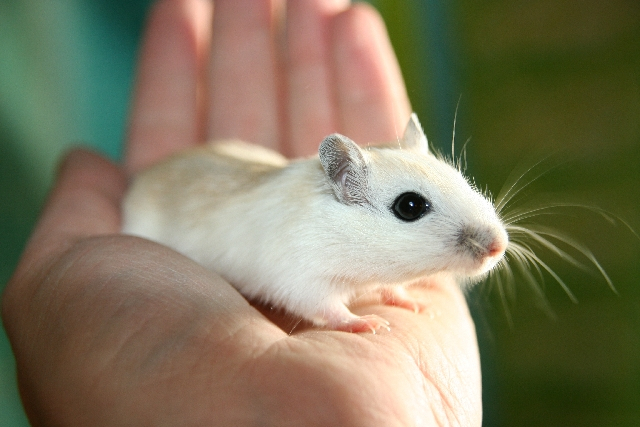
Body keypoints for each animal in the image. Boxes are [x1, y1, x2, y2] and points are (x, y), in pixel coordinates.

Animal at [122, 114, 508, 333]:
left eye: (461, 179)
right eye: (410, 206)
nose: (499, 246)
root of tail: (140, 180)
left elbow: (390, 287)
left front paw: (414, 303)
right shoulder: (302, 279)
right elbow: (329, 308)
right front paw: (368, 323)